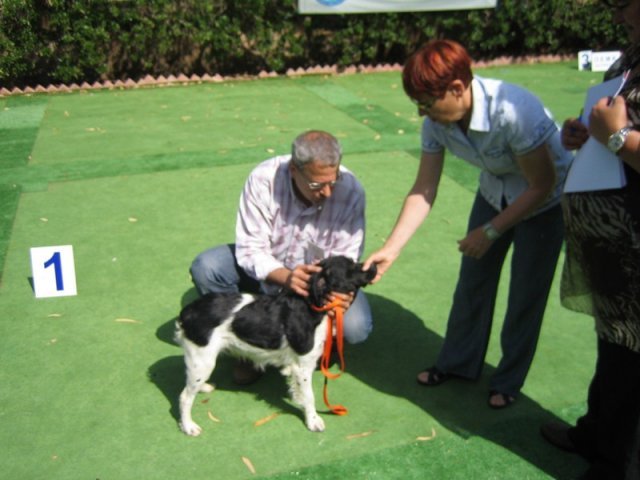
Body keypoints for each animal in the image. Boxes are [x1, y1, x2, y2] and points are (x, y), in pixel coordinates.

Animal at [174, 255, 376, 436]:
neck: (310, 304)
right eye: (351, 267)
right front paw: (313, 421)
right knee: (184, 396)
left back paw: (204, 387)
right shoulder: (303, 365)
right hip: (203, 359)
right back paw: (189, 426)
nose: (373, 265)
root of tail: (187, 312)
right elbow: (309, 396)